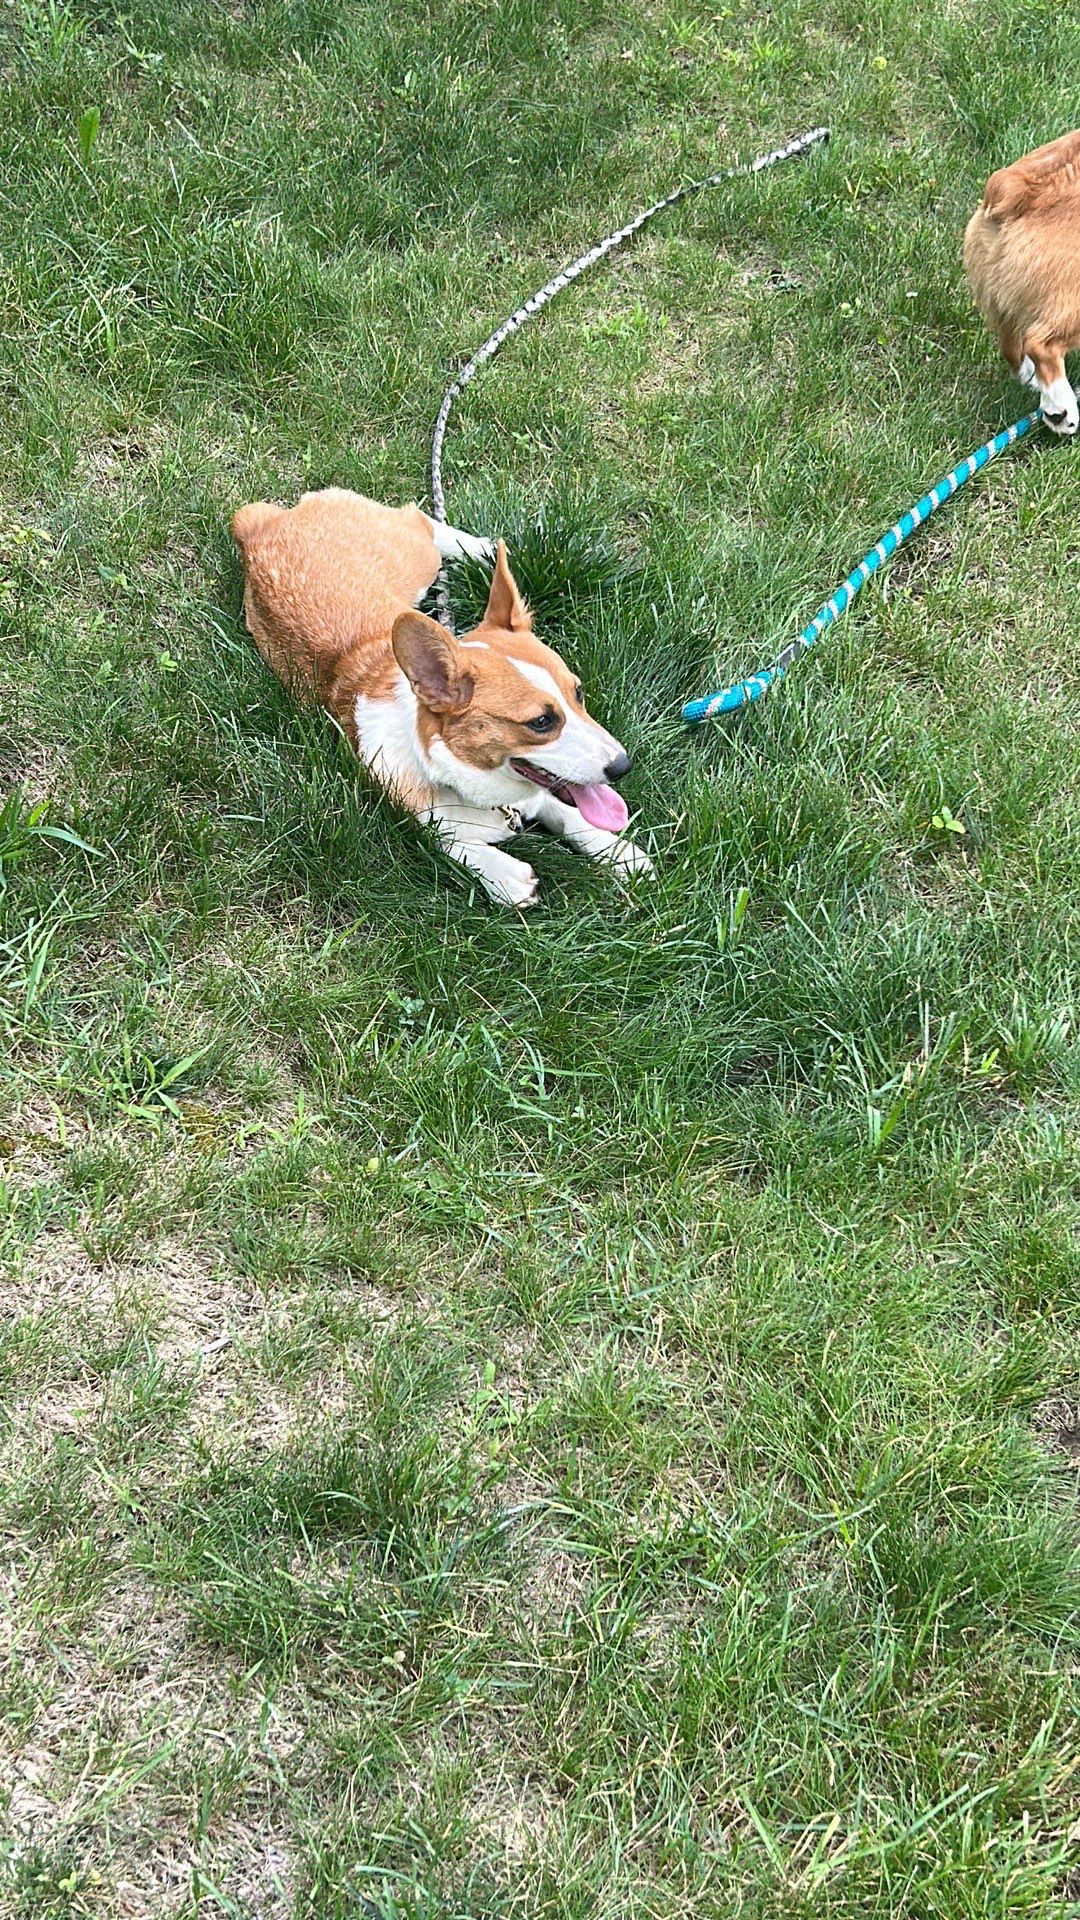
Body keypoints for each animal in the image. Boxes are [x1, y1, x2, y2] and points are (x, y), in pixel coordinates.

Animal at [228, 495, 645, 913]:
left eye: (579, 693)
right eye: (541, 722)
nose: (623, 766)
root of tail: (259, 526)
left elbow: (568, 812)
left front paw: (619, 852)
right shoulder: (406, 816)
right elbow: (447, 839)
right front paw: (501, 873)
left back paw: (483, 549)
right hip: (418, 560)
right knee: (417, 518)